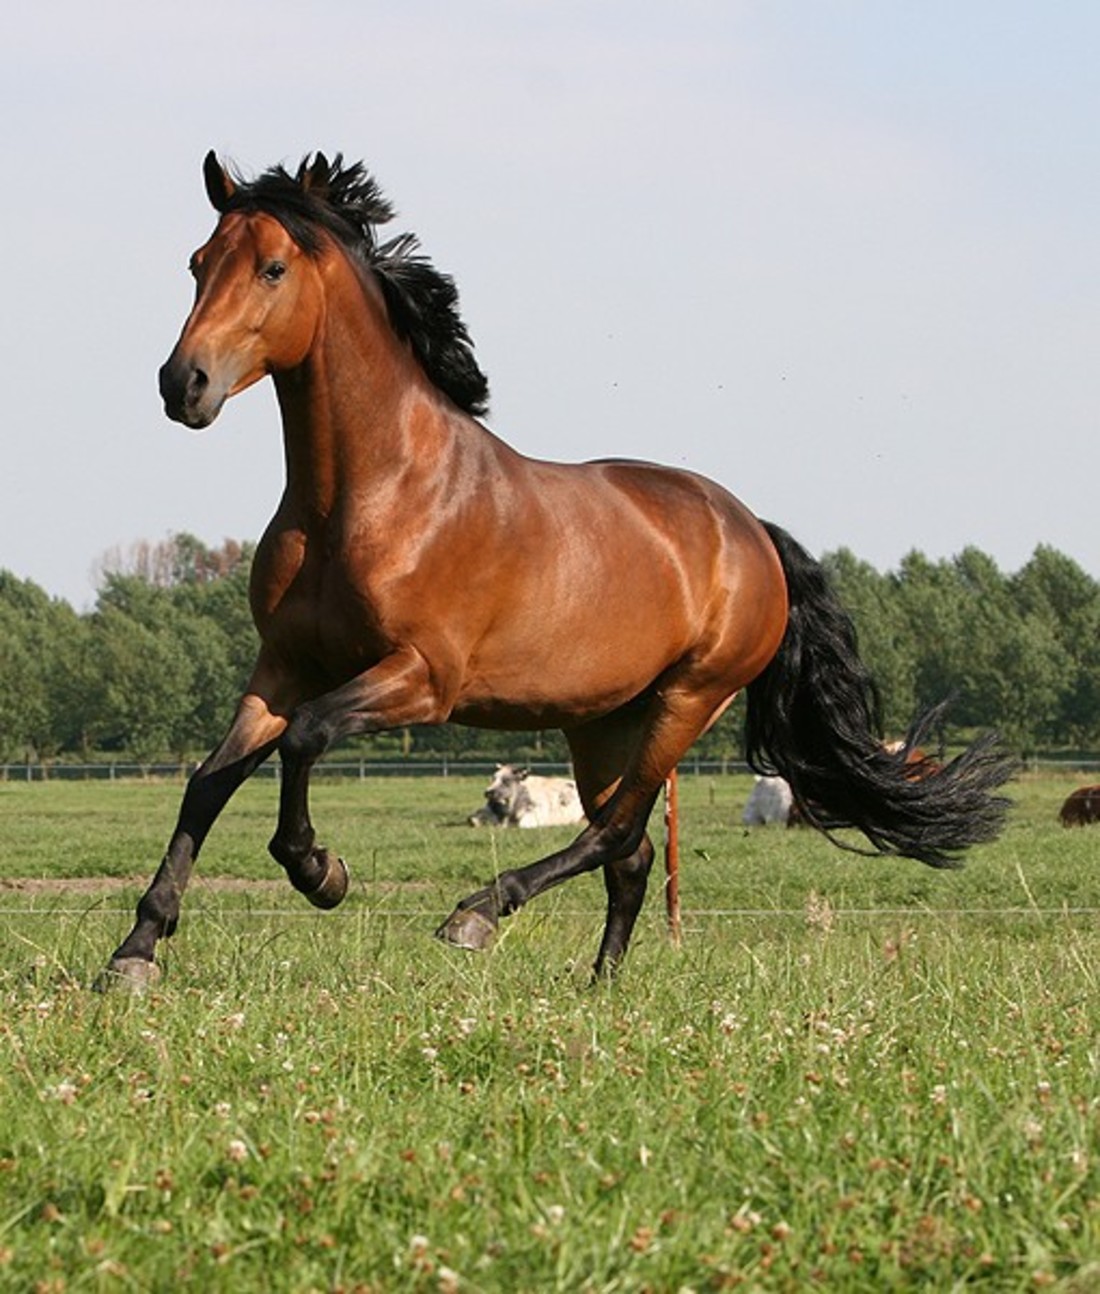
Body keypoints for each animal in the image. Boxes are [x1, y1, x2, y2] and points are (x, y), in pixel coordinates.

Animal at [101, 152, 1016, 989]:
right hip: (602, 721)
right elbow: (208, 782)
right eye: (197, 263)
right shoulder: (283, 667)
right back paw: (600, 985)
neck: (370, 494)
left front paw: (321, 873)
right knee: (633, 854)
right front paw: (136, 951)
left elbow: (308, 737)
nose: (183, 384)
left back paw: (477, 914)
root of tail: (751, 531)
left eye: (273, 267)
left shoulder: (422, 680)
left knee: (614, 834)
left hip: (687, 701)